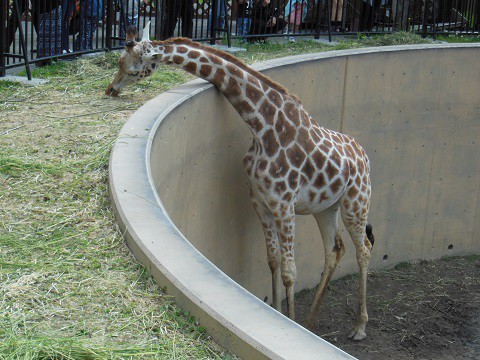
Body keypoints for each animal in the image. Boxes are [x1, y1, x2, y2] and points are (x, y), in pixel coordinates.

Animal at [108, 23, 376, 340]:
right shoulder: (260, 201)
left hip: (356, 202)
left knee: (363, 249)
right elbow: (272, 261)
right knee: (335, 250)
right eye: (118, 61)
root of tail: (363, 154)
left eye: (127, 65)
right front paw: (280, 313)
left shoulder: (284, 205)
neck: (264, 127)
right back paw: (312, 321)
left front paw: (291, 323)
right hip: (326, 207)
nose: (110, 89)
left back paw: (359, 326)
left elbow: (290, 272)